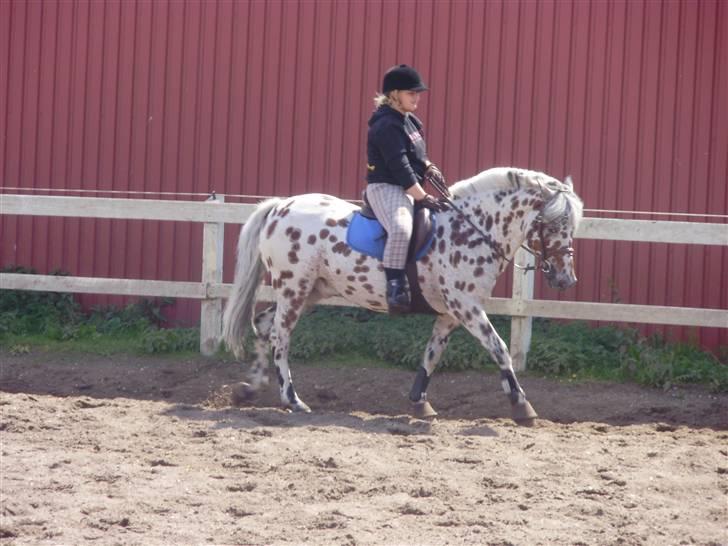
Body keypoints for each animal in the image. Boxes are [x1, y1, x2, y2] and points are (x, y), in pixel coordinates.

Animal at [223, 168, 584, 422]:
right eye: (554, 225)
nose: (566, 278)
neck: (472, 229)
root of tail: (280, 206)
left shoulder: (451, 313)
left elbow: (431, 355)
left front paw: (419, 403)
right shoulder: (466, 306)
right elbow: (500, 348)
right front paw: (522, 405)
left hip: (310, 291)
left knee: (264, 325)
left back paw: (249, 389)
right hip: (294, 288)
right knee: (281, 337)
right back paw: (292, 399)